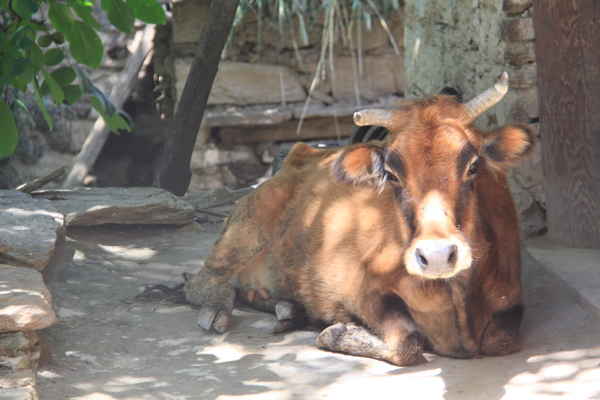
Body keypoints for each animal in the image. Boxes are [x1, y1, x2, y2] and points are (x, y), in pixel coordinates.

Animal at [184, 73, 536, 368]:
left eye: (473, 166)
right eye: (392, 175)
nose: (436, 255)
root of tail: (304, 151)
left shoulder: (512, 298)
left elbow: (501, 338)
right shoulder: (362, 287)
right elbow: (407, 340)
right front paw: (337, 332)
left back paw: (289, 311)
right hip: (248, 220)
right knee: (200, 284)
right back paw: (218, 307)